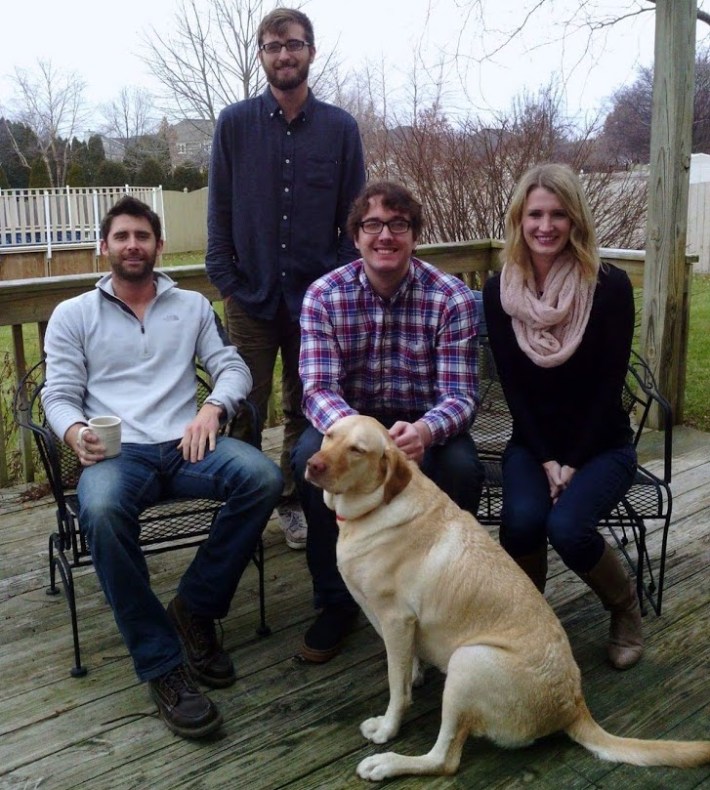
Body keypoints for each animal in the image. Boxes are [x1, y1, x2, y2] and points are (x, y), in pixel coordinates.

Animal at [308, 418, 710, 784]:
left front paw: (388, 726)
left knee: (445, 760)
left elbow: (396, 686)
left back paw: (386, 764)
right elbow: (406, 667)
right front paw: (416, 673)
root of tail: (574, 705)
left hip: (469, 661)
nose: (313, 465)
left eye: (357, 449)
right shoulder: (398, 627)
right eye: (328, 435)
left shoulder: (395, 620)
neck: (378, 506)